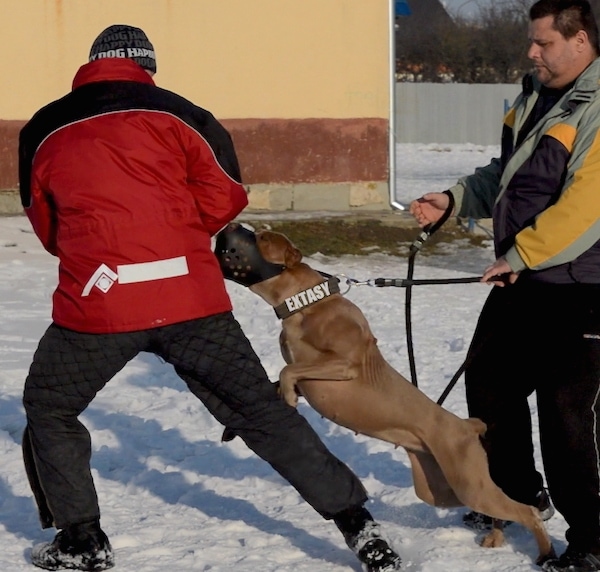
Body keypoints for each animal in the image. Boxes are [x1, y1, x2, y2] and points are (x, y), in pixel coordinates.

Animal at [216, 222, 552, 564]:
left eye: (261, 238)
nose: (232, 225)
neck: (306, 303)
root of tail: (466, 425)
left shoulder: (345, 364)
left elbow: (288, 372)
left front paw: (288, 397)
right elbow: (279, 377)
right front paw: (235, 427)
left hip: (469, 483)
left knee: (525, 511)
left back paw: (546, 554)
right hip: (441, 488)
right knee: (501, 507)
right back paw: (496, 536)